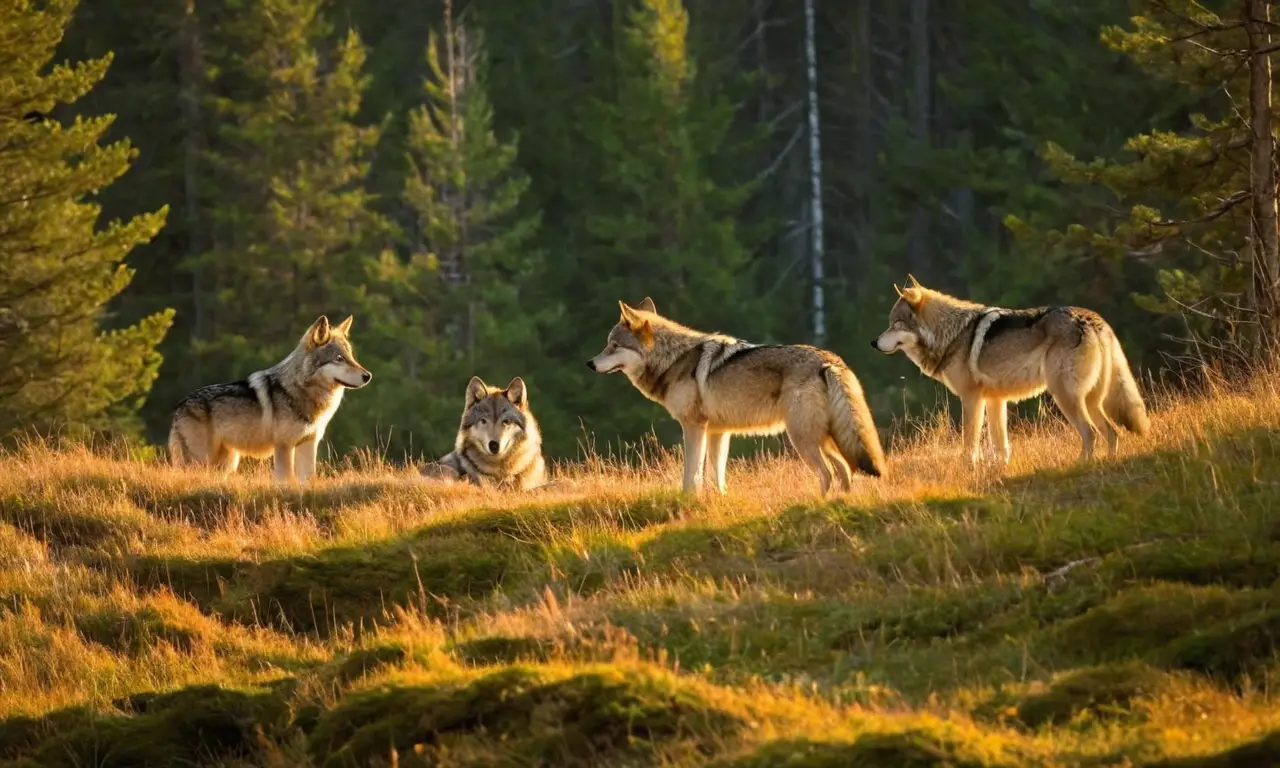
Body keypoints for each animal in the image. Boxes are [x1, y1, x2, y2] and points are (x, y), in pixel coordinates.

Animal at [168, 315, 372, 484]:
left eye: (351, 357)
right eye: (339, 358)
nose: (368, 376)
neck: (300, 390)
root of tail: (179, 406)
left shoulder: (308, 443)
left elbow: (307, 479)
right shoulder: (283, 447)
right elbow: (286, 480)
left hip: (225, 463)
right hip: (201, 461)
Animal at [587, 297, 885, 496]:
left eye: (614, 346)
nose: (590, 363)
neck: (672, 359)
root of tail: (829, 361)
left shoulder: (694, 427)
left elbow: (691, 474)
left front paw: (688, 501)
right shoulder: (719, 432)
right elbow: (716, 475)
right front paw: (719, 500)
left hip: (802, 438)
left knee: (828, 473)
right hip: (824, 437)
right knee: (845, 470)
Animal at [872, 275, 1150, 465]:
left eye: (895, 324)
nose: (873, 343)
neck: (952, 334)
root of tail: (1094, 320)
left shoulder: (971, 399)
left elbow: (969, 443)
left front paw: (969, 468)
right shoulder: (996, 400)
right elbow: (1001, 445)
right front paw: (999, 469)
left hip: (1065, 397)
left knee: (1090, 433)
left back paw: (1081, 465)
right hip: (1091, 400)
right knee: (1112, 433)